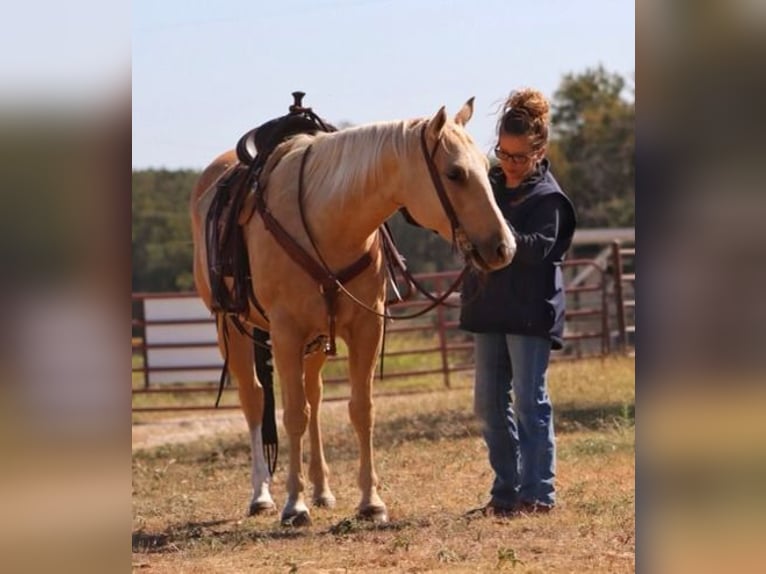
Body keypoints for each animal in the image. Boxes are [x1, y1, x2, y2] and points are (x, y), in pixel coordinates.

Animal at [189, 99, 520, 528]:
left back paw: (322, 490)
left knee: (314, 397)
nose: (504, 247)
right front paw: (294, 505)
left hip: (314, 342)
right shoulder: (285, 332)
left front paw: (370, 502)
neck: (326, 220)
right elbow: (292, 414)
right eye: (455, 173)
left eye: (485, 165)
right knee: (255, 398)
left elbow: (360, 410)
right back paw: (261, 495)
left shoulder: (367, 327)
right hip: (231, 327)